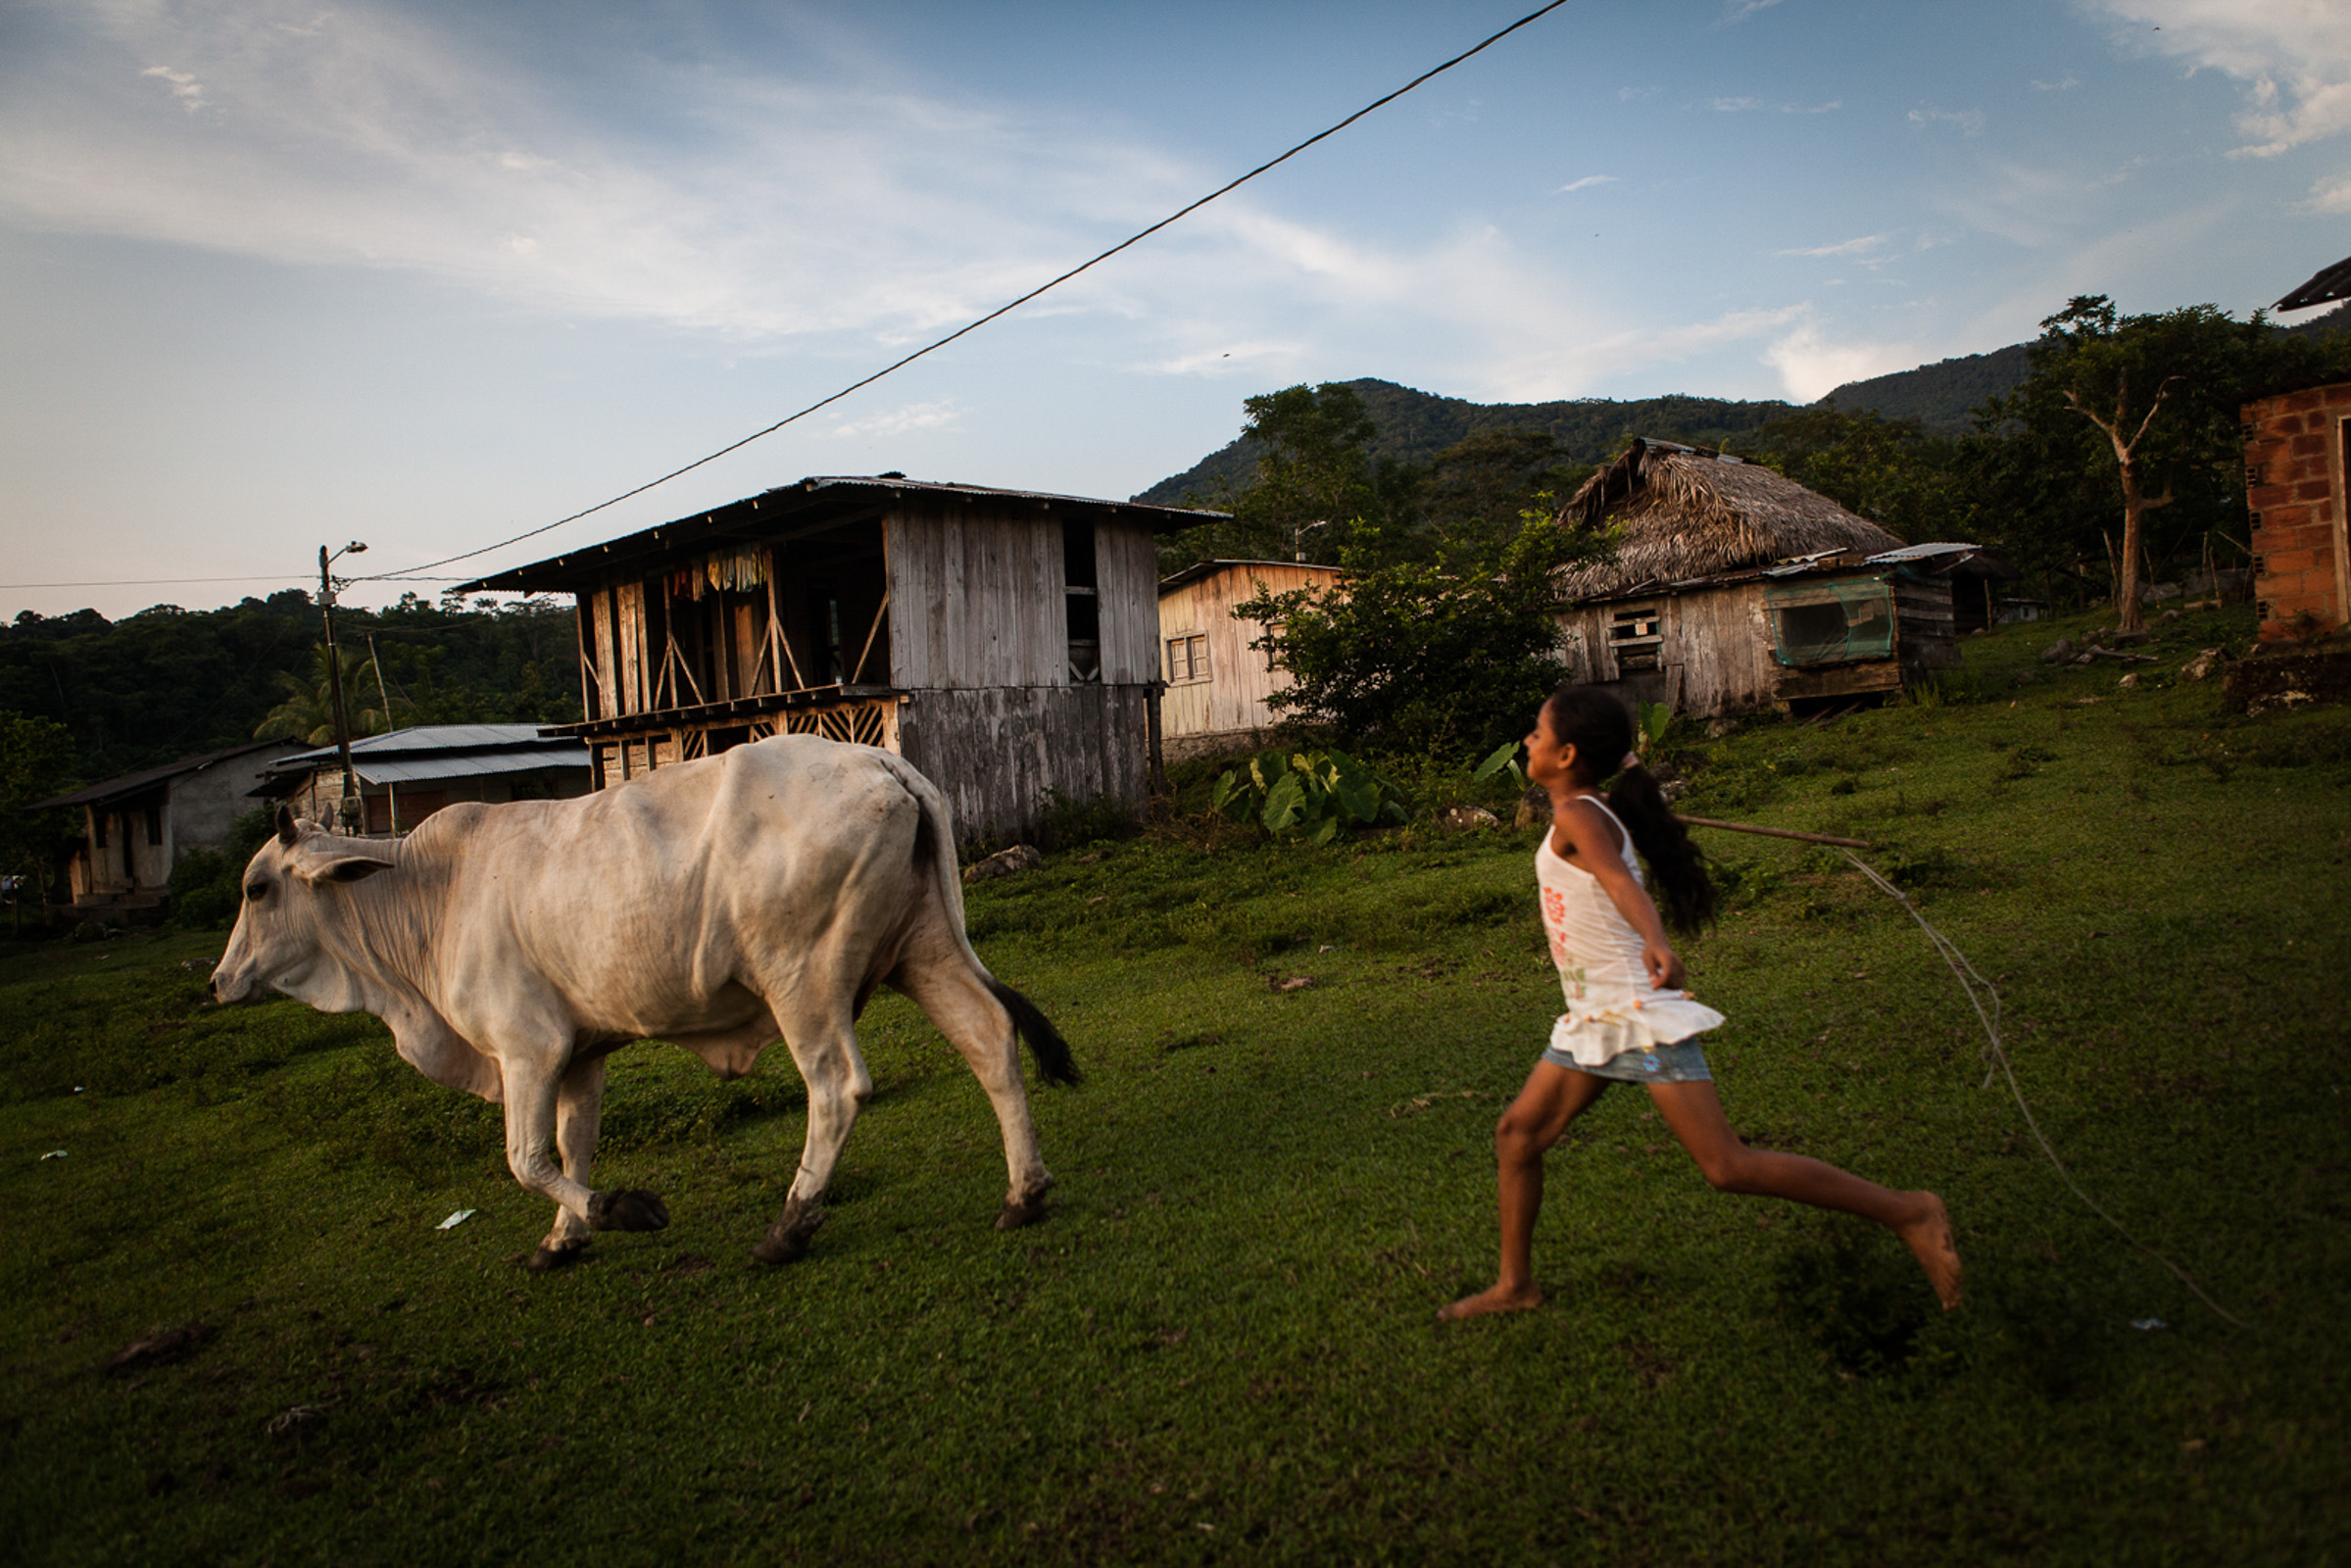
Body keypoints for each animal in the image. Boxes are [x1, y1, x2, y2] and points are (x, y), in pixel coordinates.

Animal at [211, 738, 1076, 1278]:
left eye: (257, 889)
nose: (219, 981)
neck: (430, 895)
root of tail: (882, 761)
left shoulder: (526, 1048)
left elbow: (526, 1161)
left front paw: (624, 1209)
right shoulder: (577, 1056)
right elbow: (571, 1148)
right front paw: (562, 1241)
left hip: (802, 979)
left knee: (837, 1087)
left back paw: (789, 1226)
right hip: (921, 949)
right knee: (989, 1039)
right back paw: (1023, 1194)